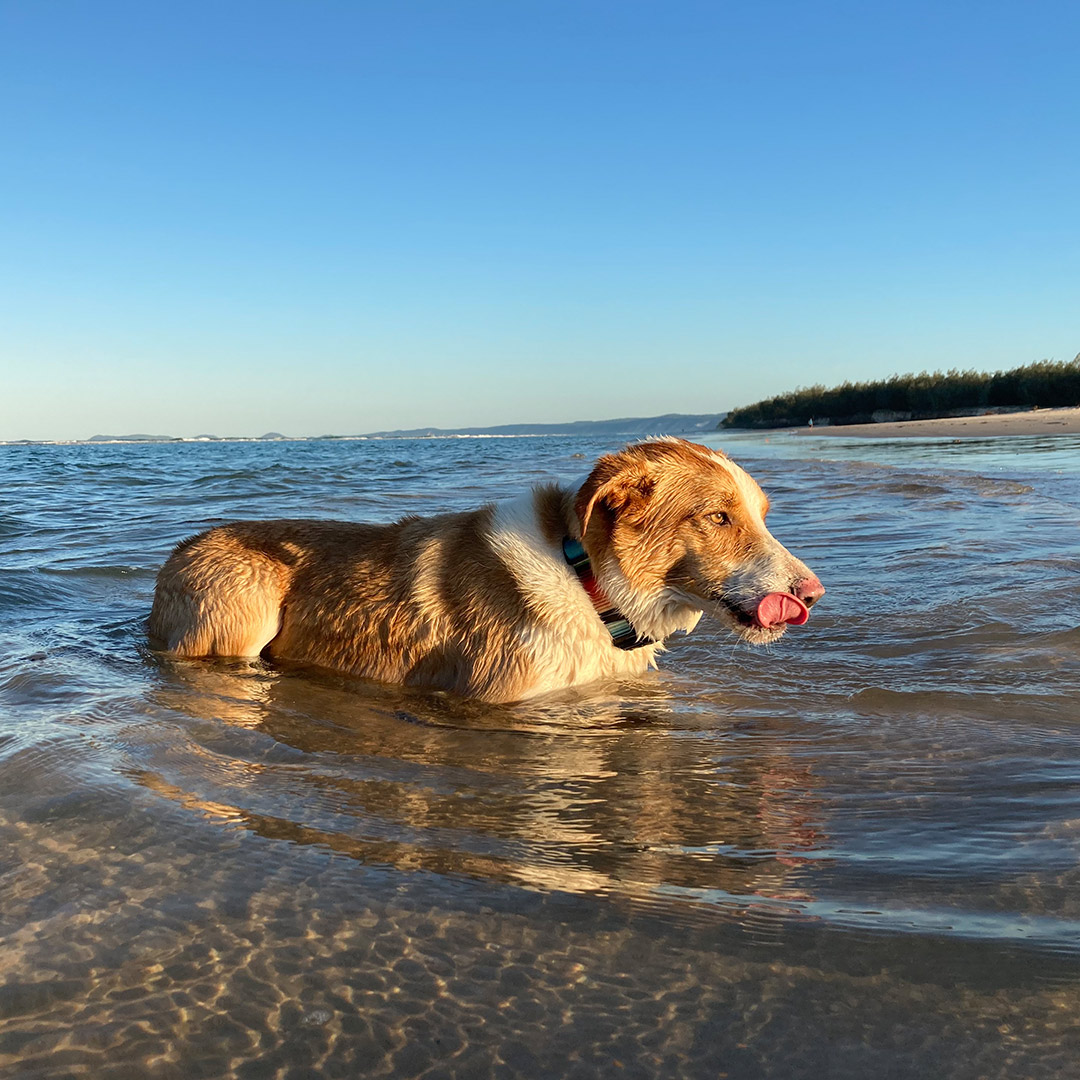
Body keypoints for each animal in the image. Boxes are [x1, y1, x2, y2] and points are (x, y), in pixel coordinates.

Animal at [150, 436, 825, 699]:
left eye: (762, 514)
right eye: (718, 517)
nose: (813, 593)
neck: (586, 584)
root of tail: (183, 545)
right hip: (242, 612)